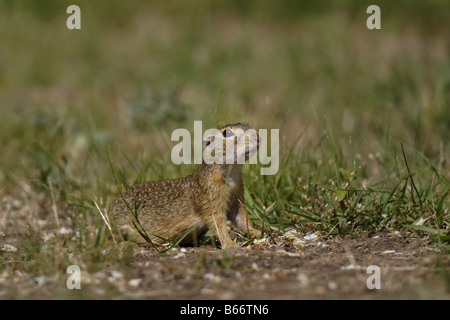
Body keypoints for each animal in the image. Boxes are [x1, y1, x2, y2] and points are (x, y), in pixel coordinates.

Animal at [109, 122, 262, 248]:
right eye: (227, 133)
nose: (258, 136)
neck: (231, 174)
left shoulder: (237, 196)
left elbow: (241, 217)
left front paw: (256, 231)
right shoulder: (210, 198)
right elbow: (217, 223)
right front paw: (231, 245)